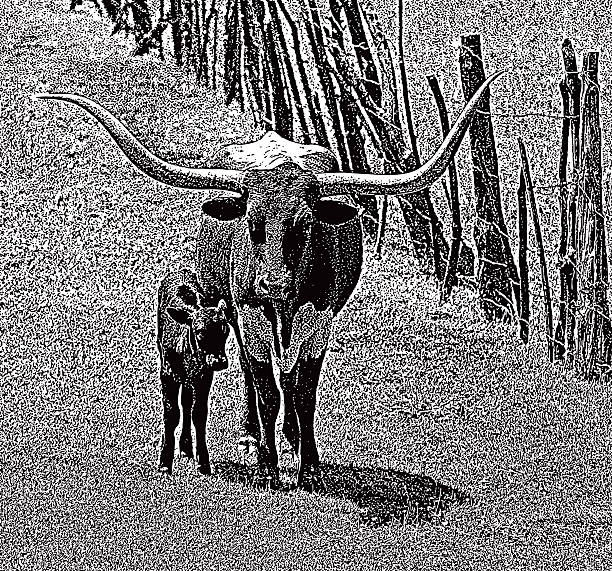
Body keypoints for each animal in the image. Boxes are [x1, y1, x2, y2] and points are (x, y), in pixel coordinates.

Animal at [155, 270, 230, 476]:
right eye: (199, 331)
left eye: (225, 330)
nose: (219, 361)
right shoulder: (167, 373)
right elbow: (171, 413)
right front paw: (164, 462)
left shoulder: (203, 376)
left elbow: (199, 414)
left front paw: (203, 462)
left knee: (187, 403)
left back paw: (186, 446)